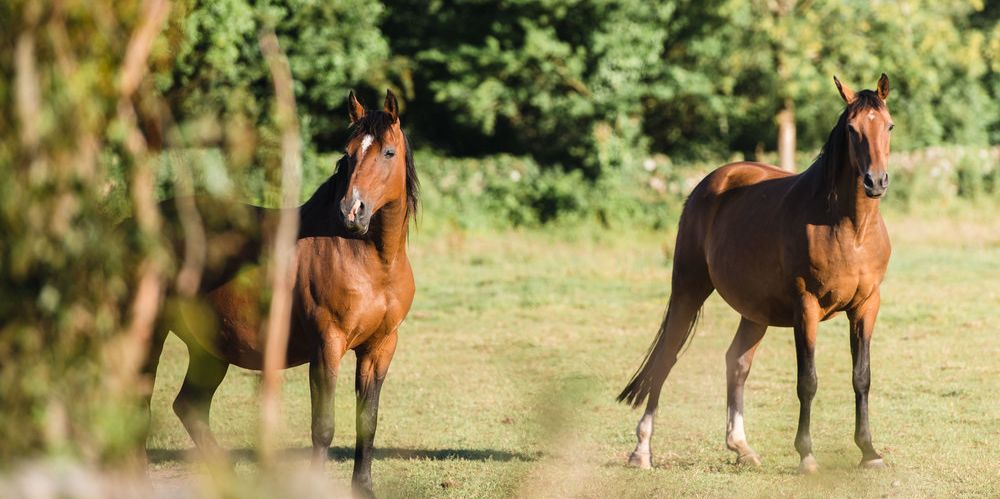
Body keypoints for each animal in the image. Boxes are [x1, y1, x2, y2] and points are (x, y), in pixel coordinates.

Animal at [141, 90, 414, 496]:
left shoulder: (380, 347)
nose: (352, 211)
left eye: (388, 153)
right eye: (348, 153)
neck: (370, 260)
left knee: (189, 406)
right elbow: (323, 426)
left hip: (209, 349)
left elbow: (368, 420)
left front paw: (363, 487)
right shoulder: (327, 346)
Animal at [620, 74, 896, 472]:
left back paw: (741, 446)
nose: (876, 181)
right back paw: (642, 449)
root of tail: (711, 183)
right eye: (851, 128)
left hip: (755, 312)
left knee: (736, 363)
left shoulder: (866, 306)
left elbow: (862, 378)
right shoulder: (805, 307)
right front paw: (806, 455)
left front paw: (869, 452)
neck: (848, 227)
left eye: (888, 126)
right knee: (667, 358)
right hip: (688, 287)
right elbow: (807, 380)